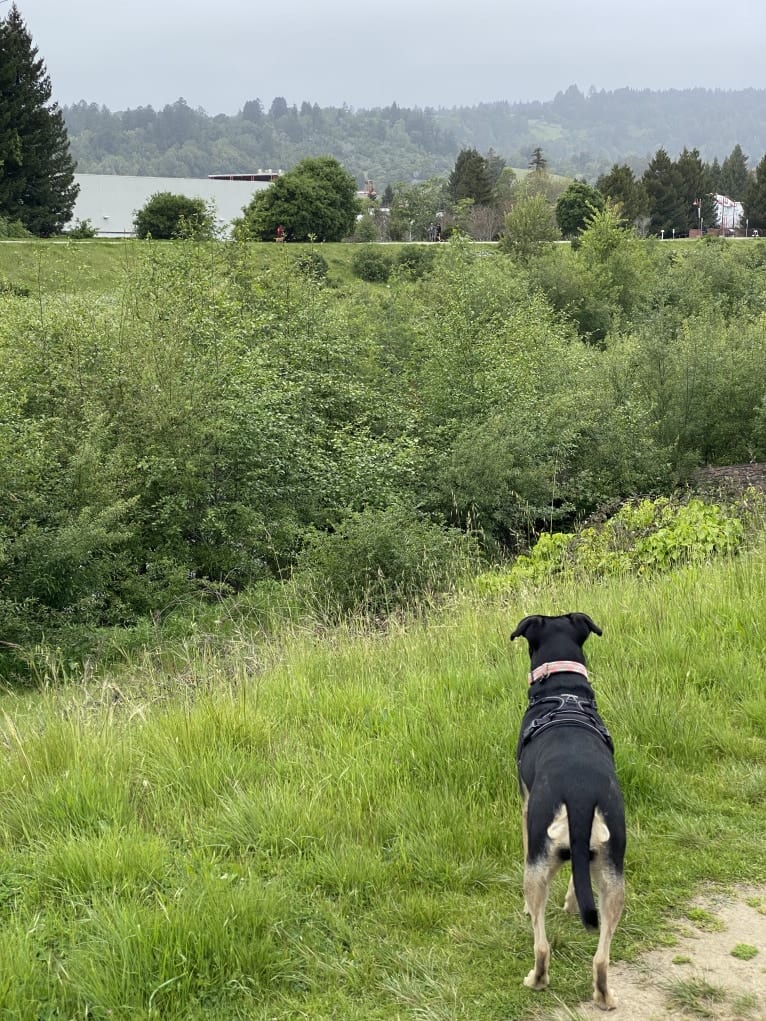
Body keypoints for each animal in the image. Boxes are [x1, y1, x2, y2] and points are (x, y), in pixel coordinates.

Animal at [512, 608, 625, 1008]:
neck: (563, 691)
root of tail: (579, 796)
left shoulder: (525, 805)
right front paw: (573, 903)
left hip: (537, 863)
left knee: (542, 945)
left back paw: (536, 979)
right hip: (613, 870)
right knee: (602, 956)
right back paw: (604, 996)